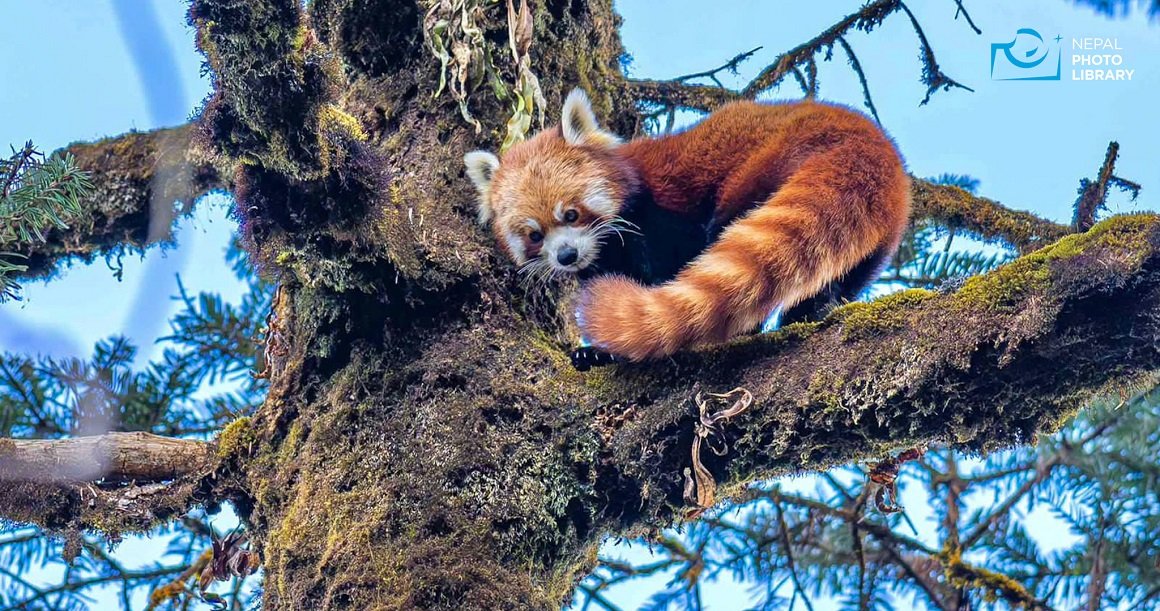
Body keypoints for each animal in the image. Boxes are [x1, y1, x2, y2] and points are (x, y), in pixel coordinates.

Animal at [466, 90, 909, 366]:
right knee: (841, 277)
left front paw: (608, 352)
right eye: (534, 234)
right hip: (878, 238)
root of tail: (865, 142)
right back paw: (816, 310)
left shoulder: (658, 219)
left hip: (763, 169)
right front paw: (593, 353)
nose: (567, 255)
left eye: (571, 214)